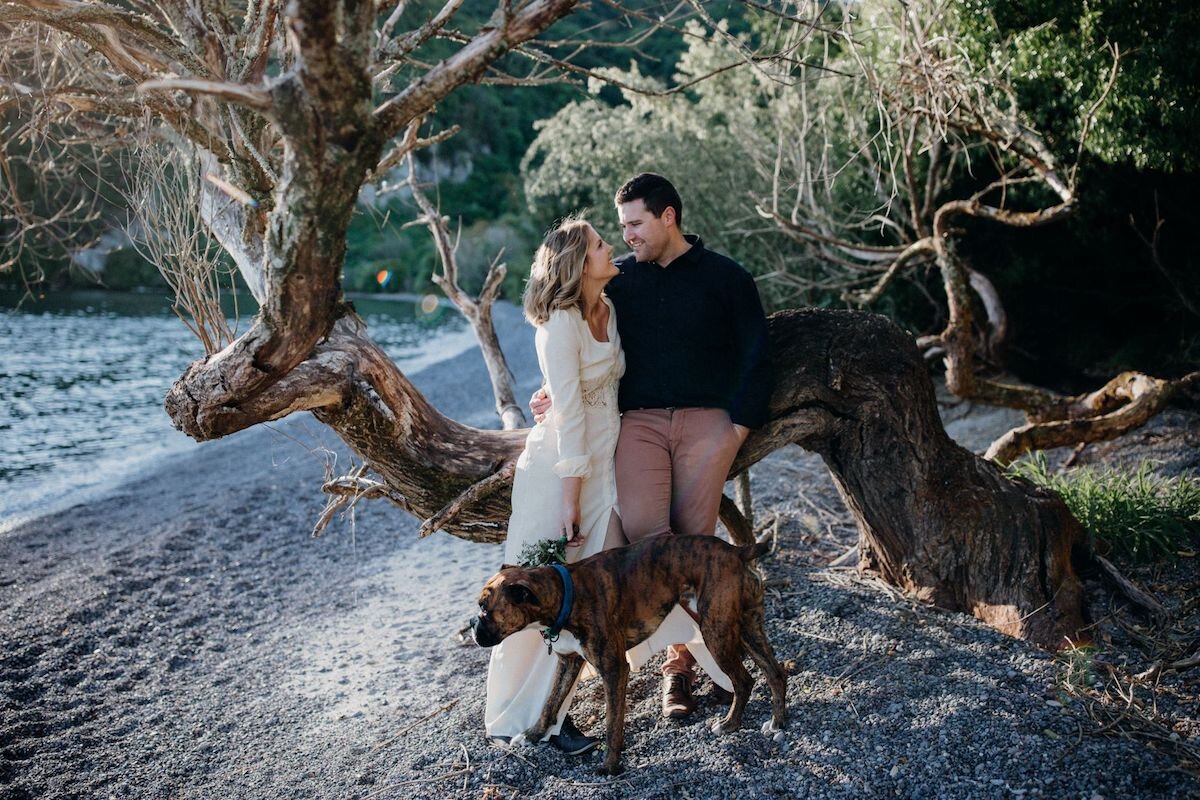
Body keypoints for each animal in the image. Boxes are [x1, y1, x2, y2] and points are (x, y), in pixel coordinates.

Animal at [468, 534, 787, 772]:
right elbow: (550, 703)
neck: (565, 593)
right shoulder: (568, 662)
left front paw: (610, 766)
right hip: (747, 625)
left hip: (716, 632)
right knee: (775, 673)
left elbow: (612, 722)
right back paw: (777, 723)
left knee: (744, 680)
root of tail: (736, 550)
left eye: (485, 609)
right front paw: (532, 735)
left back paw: (730, 725)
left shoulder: (613, 669)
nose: (472, 625)